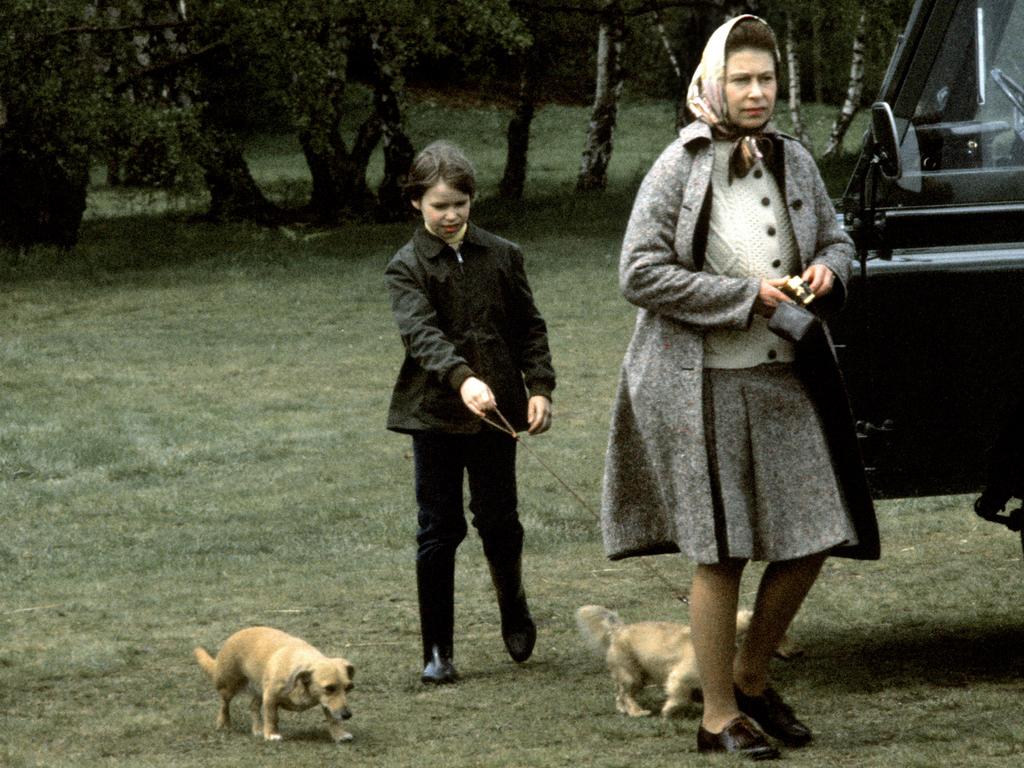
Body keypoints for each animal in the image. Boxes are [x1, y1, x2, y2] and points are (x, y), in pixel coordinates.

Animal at [194, 626, 356, 741]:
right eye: (329, 688)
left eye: (349, 687)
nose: (347, 715)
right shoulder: (271, 697)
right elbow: (272, 717)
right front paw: (272, 734)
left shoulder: (328, 704)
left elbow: (333, 719)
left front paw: (340, 734)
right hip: (228, 686)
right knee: (224, 704)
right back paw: (224, 724)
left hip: (260, 688)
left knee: (253, 706)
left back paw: (258, 729)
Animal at [577, 606, 774, 720]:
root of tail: (618, 630)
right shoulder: (679, 677)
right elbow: (680, 697)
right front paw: (667, 711)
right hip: (631, 675)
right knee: (626, 695)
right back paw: (638, 712)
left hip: (637, 676)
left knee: (620, 695)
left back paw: (623, 709)